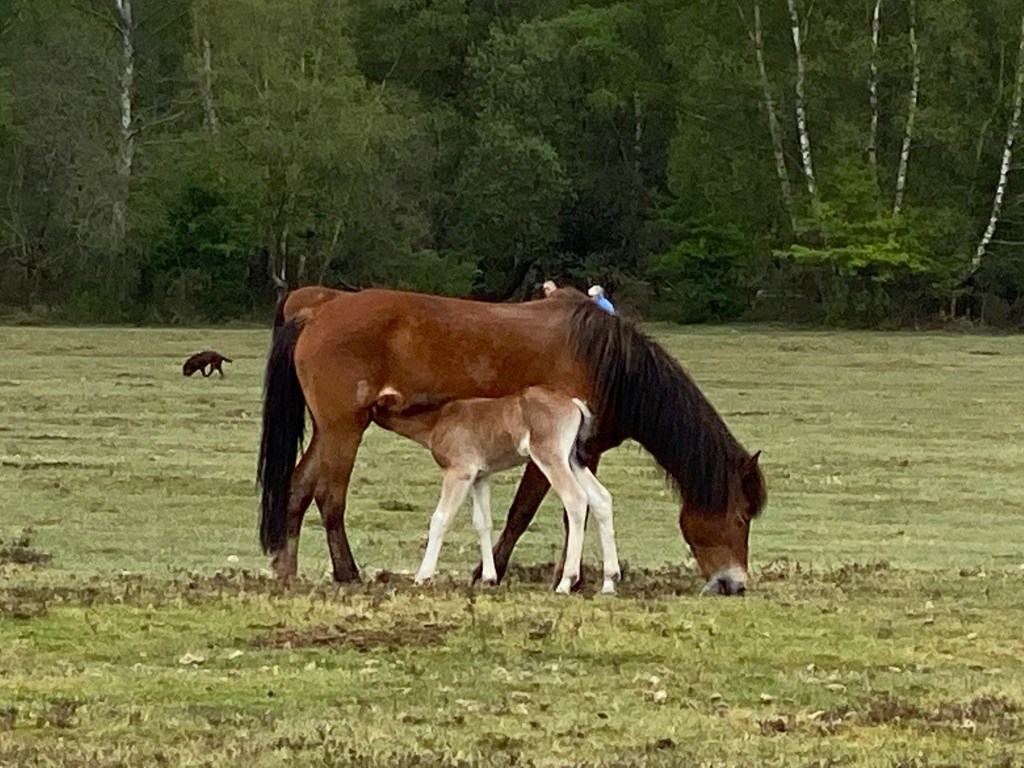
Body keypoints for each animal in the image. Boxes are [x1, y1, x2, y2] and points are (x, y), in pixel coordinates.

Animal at [370, 386, 620, 594]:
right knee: (601, 499)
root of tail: (574, 403)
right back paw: (609, 581)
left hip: (551, 458)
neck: (438, 419)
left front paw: (423, 577)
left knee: (575, 499)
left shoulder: (459, 473)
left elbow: (441, 518)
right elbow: (483, 523)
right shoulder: (481, 477)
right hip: (574, 461)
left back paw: (566, 582)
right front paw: (489, 578)